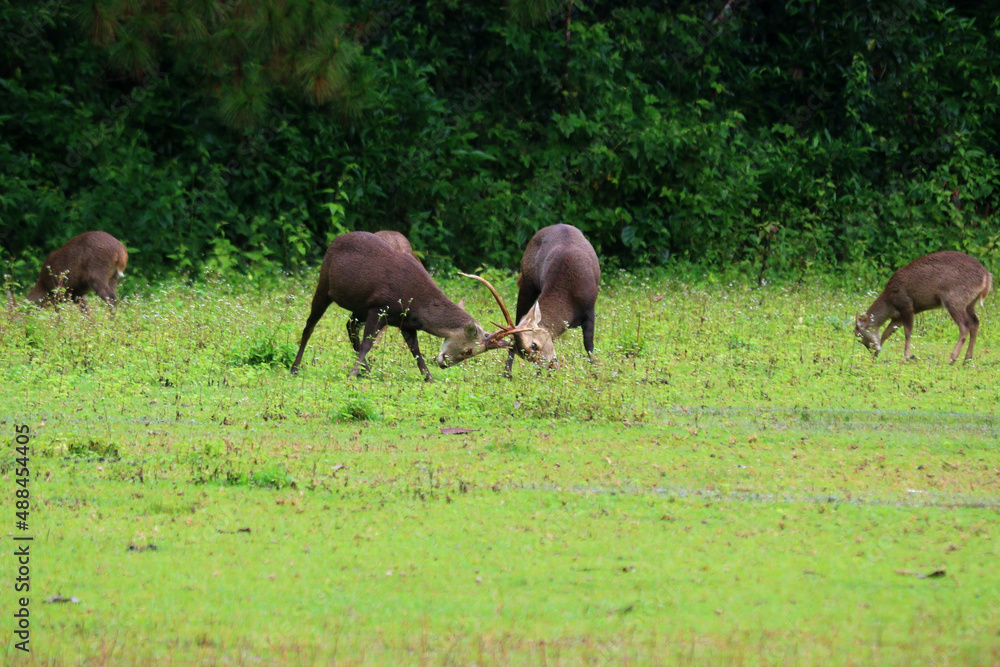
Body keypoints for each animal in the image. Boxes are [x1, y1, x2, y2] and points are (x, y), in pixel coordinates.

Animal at [290, 232, 524, 380]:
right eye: (468, 350)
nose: (444, 363)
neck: (417, 302)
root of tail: (335, 241)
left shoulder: (406, 322)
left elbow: (416, 351)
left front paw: (429, 378)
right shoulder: (378, 306)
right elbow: (368, 343)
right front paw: (351, 375)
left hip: (358, 307)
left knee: (349, 325)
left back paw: (368, 371)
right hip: (324, 285)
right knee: (310, 326)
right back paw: (295, 368)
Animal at [462, 223, 596, 376]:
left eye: (533, 345)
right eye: (522, 354)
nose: (550, 366)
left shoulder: (590, 308)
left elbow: (589, 345)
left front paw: (594, 373)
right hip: (527, 283)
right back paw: (507, 374)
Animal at [852, 252, 992, 366]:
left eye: (859, 335)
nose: (873, 351)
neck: (889, 303)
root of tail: (987, 278)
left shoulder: (907, 306)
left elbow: (908, 333)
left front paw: (906, 357)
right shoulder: (897, 317)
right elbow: (887, 332)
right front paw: (875, 356)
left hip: (955, 299)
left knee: (965, 325)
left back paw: (952, 359)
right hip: (970, 303)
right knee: (975, 322)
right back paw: (967, 359)